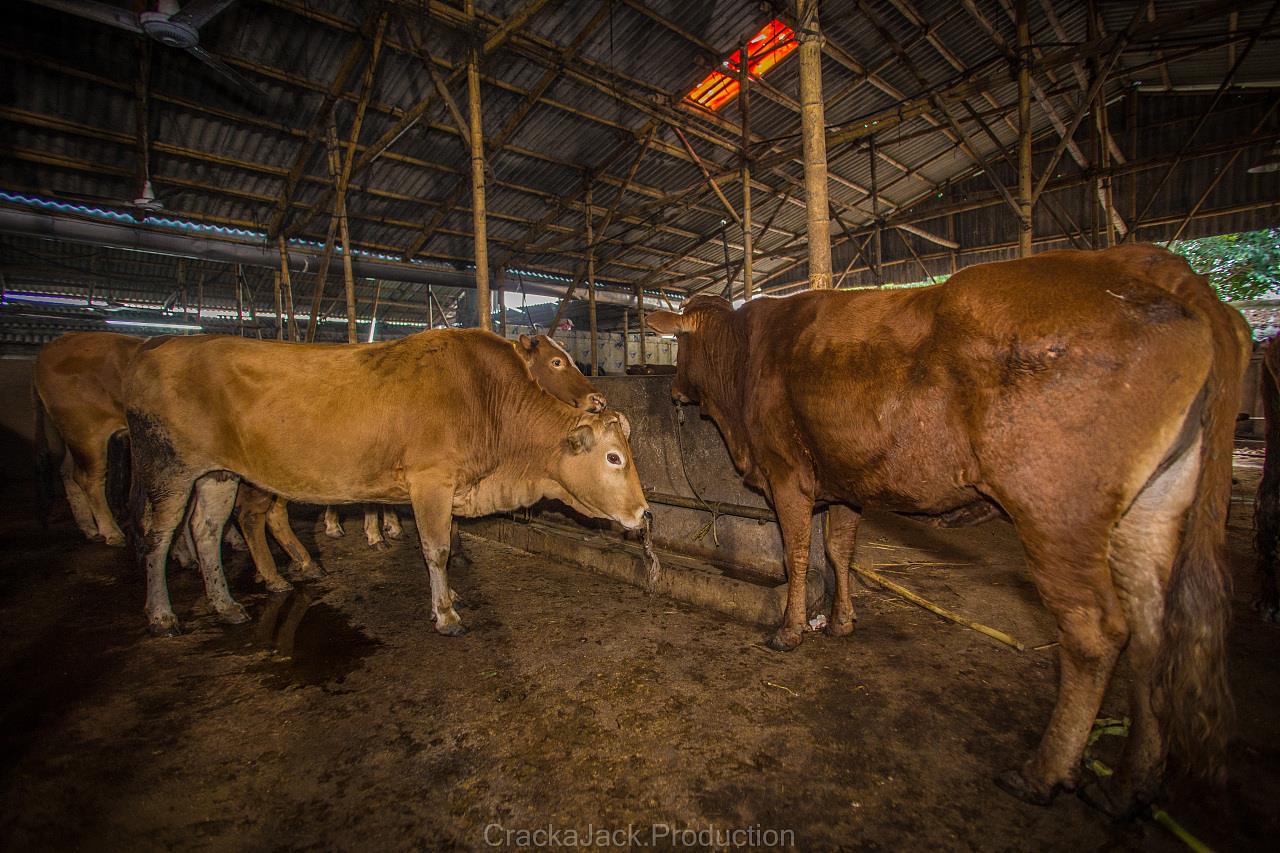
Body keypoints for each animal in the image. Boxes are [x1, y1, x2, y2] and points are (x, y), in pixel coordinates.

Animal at [123, 325, 645, 637]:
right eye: (614, 457)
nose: (643, 512)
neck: (486, 398)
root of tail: (155, 345)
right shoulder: (430, 480)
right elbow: (436, 547)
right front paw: (446, 613)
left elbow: (446, 540)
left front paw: (447, 595)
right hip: (168, 467)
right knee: (158, 534)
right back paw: (162, 613)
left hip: (218, 474)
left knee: (207, 531)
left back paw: (226, 603)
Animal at [645, 244, 1244, 809]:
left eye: (677, 347)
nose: (670, 390)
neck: (742, 360)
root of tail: (1148, 266)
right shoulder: (846, 483)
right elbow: (840, 551)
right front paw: (842, 621)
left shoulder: (788, 476)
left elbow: (796, 555)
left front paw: (790, 632)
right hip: (1151, 509)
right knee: (1152, 634)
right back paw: (1128, 786)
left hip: (1056, 513)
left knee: (1094, 635)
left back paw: (1042, 773)